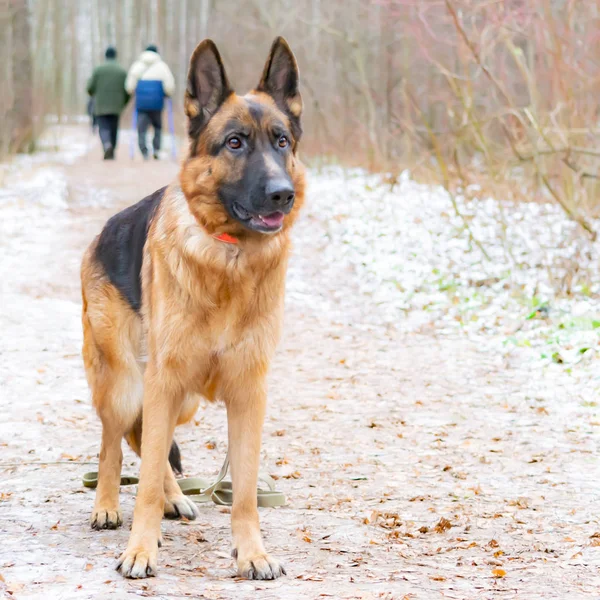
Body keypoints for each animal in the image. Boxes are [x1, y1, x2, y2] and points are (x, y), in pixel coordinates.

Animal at [79, 38, 304, 580]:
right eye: (235, 143)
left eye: (282, 142)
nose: (281, 194)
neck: (230, 257)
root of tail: (100, 234)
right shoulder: (163, 380)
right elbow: (138, 468)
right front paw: (140, 549)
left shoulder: (248, 394)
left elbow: (244, 491)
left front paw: (252, 552)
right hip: (127, 383)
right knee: (114, 444)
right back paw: (108, 505)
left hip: (180, 399)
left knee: (148, 443)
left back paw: (173, 498)